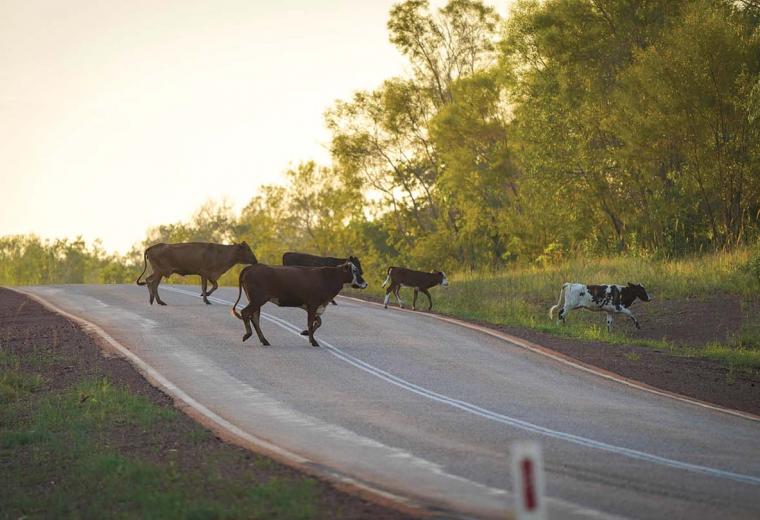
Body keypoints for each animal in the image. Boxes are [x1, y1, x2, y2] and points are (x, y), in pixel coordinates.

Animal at [230, 264, 366, 346]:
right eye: (355, 271)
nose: (365, 284)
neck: (327, 278)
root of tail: (251, 267)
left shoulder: (314, 306)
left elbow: (318, 322)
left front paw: (305, 333)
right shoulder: (313, 304)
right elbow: (311, 323)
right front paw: (313, 341)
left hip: (256, 300)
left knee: (254, 317)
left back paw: (264, 340)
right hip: (258, 299)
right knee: (245, 313)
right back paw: (248, 335)